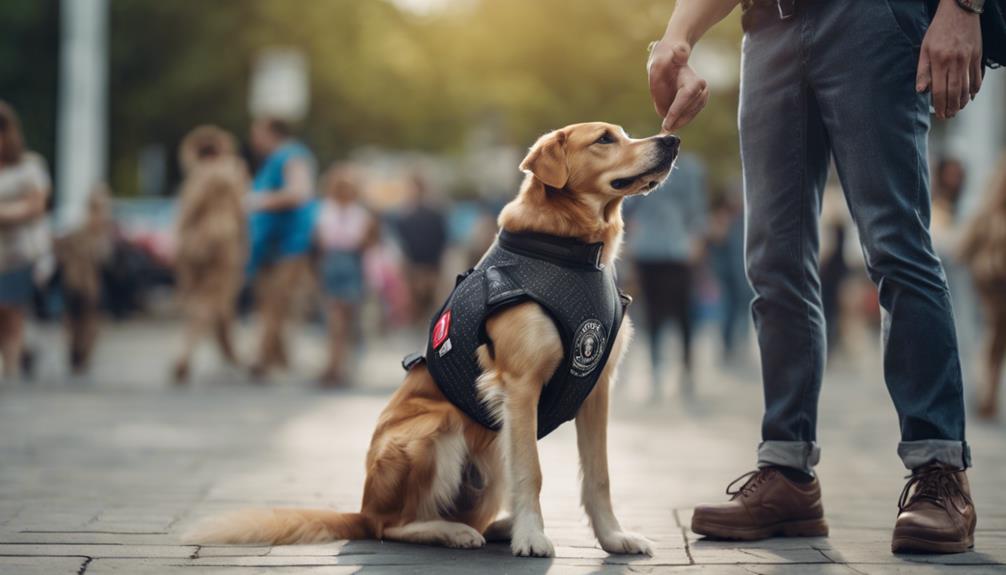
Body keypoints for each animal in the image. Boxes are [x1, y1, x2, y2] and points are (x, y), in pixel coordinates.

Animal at [185, 122, 680, 558]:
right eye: (605, 139)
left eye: (624, 133)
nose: (671, 140)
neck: (574, 252)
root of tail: (360, 509)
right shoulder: (520, 385)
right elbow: (533, 473)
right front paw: (532, 538)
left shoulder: (596, 389)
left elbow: (599, 476)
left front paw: (613, 537)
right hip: (434, 429)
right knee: (393, 525)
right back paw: (453, 532)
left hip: (493, 445)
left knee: (470, 513)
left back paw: (498, 526)